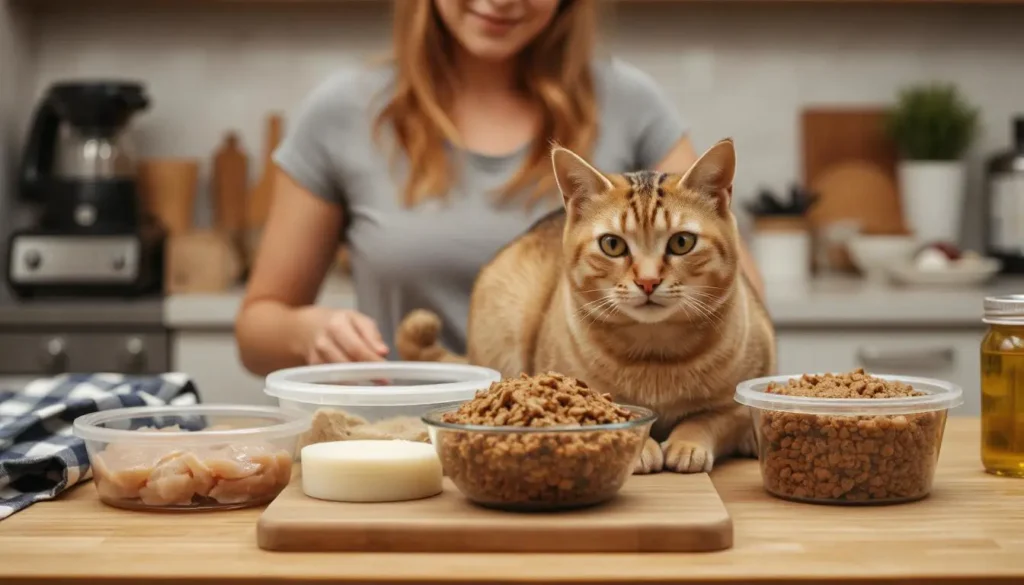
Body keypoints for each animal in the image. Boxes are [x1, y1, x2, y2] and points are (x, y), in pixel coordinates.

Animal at [395, 139, 770, 473]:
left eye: (681, 242)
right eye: (613, 245)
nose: (648, 281)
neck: (655, 357)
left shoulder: (738, 403)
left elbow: (707, 419)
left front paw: (687, 443)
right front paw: (644, 447)